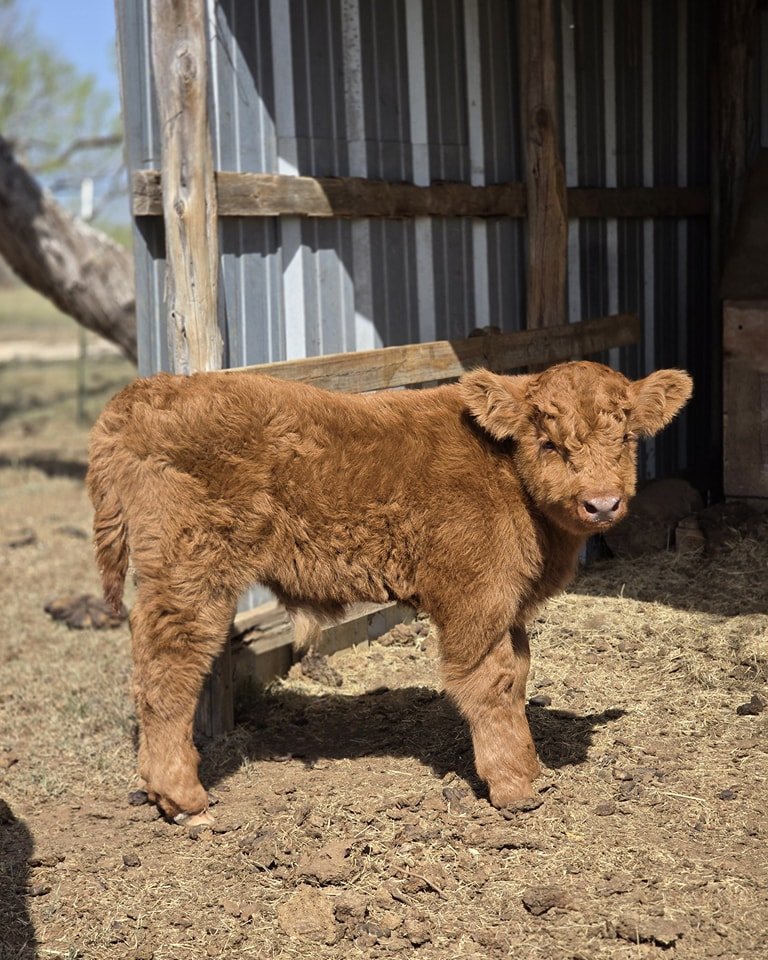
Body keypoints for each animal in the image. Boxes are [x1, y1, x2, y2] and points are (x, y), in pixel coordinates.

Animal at [87, 360, 692, 825]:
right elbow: (491, 681)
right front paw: (513, 787)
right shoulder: (474, 597)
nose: (602, 503)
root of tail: (152, 390)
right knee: (168, 666)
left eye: (626, 438)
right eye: (548, 443)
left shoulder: (510, 605)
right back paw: (185, 798)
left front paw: (530, 765)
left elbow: (519, 672)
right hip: (191, 572)